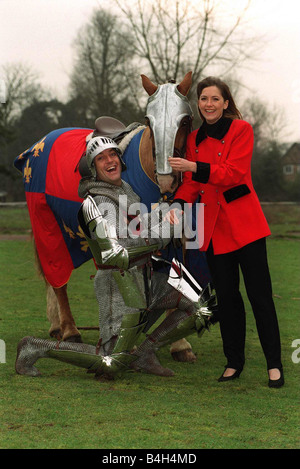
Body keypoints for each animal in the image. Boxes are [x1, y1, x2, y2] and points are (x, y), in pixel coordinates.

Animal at [14, 70, 211, 362]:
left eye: (185, 120)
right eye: (148, 120)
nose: (167, 178)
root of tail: (36, 147)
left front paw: (179, 344)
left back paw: (56, 325)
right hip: (46, 222)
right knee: (57, 277)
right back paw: (69, 329)